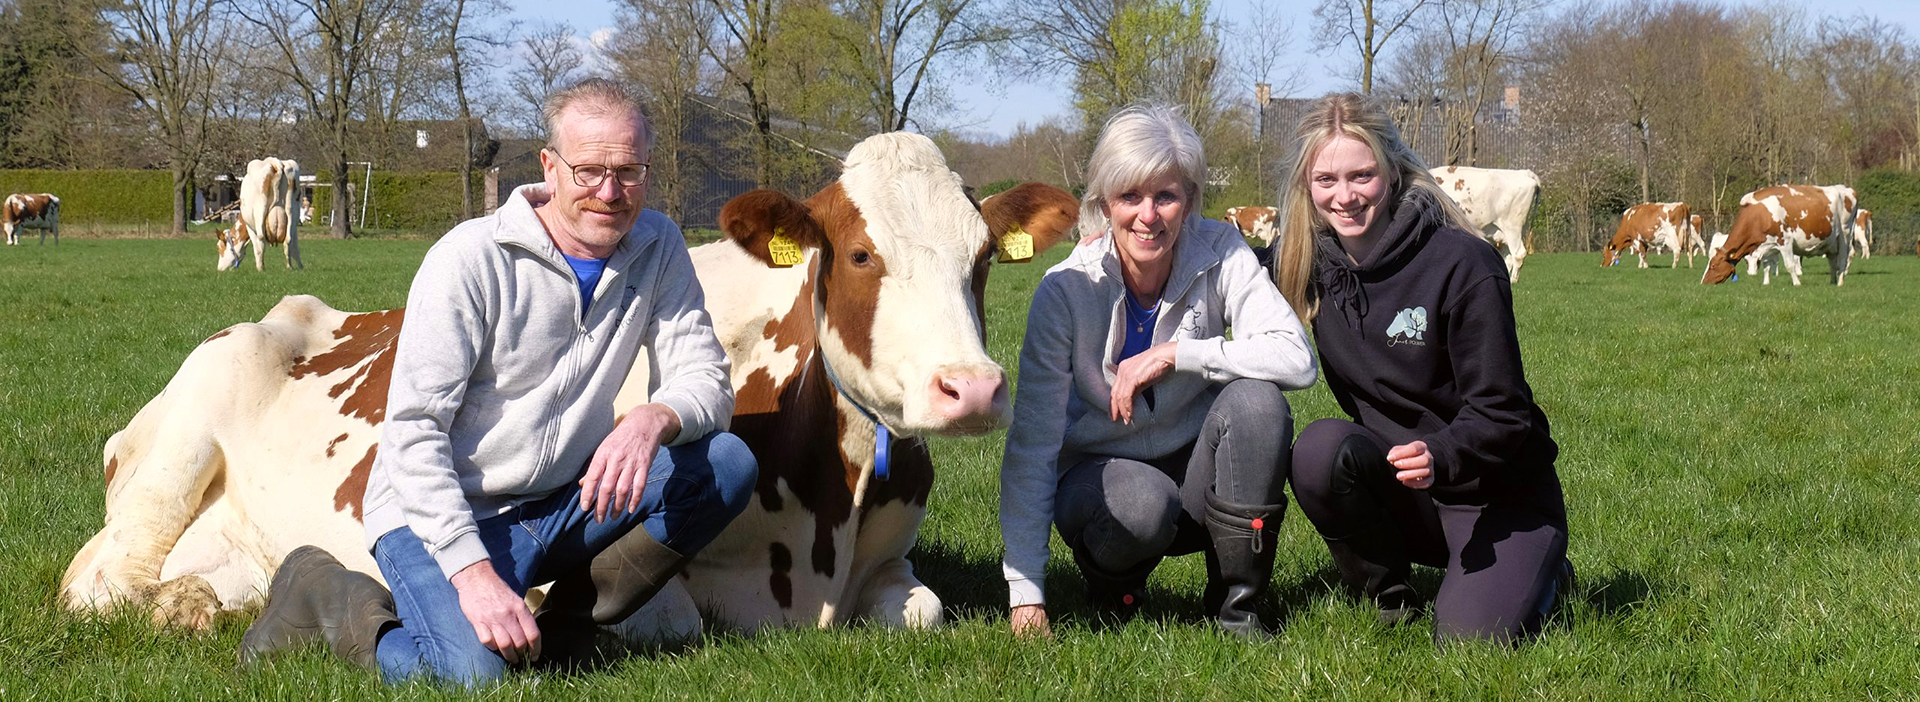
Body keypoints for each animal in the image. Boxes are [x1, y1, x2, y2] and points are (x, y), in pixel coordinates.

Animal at [60, 130, 1082, 640]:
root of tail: (289, 309)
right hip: (174, 455)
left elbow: (928, 610)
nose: (971, 389)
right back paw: (171, 607)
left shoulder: (889, 569)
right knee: (96, 583)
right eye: (863, 253)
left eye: (983, 258)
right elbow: (670, 613)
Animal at [1704, 185, 1850, 289]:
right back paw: (1832, 281)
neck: (1758, 216)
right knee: (1832, 262)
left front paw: (1797, 283)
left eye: (1713, 265)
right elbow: (1767, 266)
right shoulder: (1767, 245)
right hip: (1831, 243)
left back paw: (1840, 283)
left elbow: (1789, 265)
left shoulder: (1785, 241)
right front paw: (1766, 283)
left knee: (1843, 259)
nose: (1703, 282)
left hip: (1845, 235)